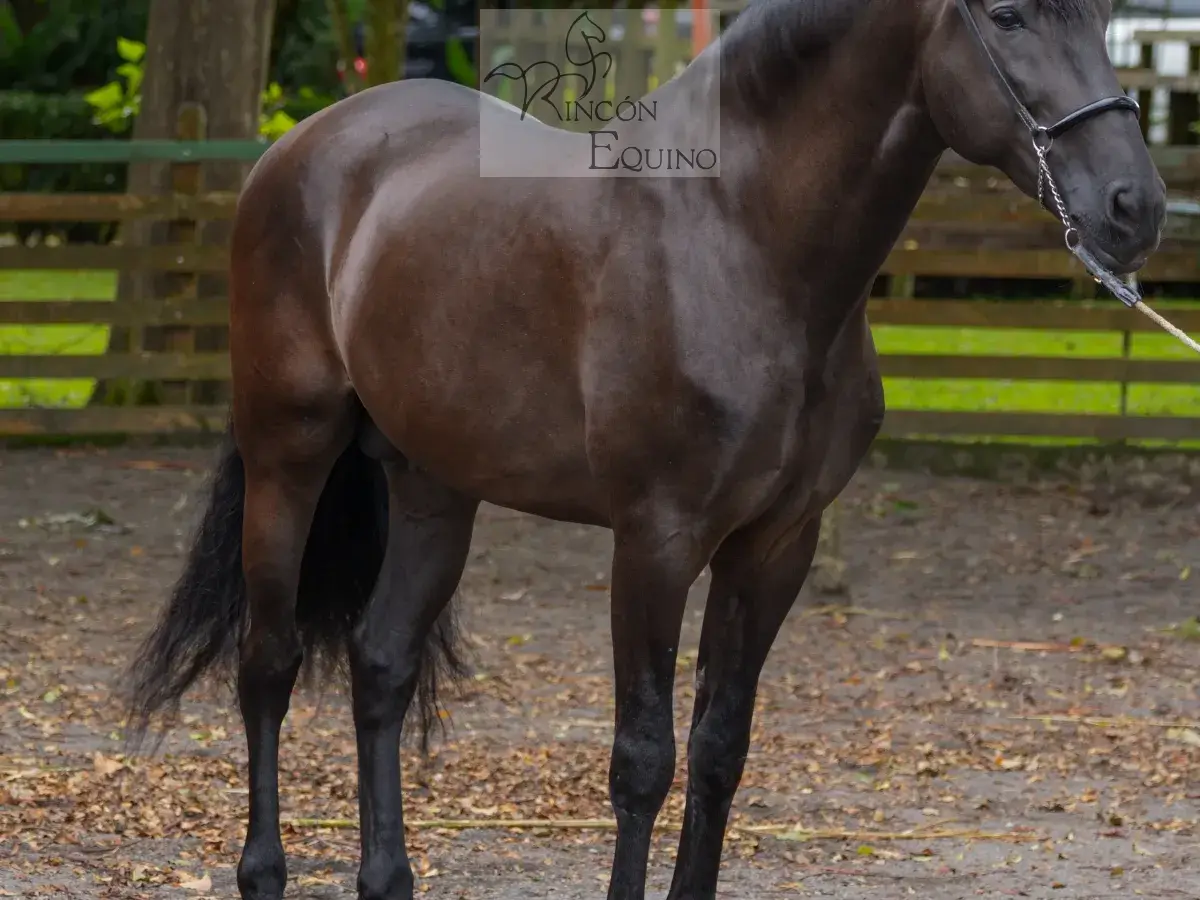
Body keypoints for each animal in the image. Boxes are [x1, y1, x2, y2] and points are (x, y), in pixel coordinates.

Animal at [125, 1, 1166, 899]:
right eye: (1007, 15)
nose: (1136, 207)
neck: (741, 242)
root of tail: (301, 145)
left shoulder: (775, 546)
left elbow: (718, 750)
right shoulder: (656, 541)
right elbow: (643, 760)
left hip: (436, 488)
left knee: (380, 665)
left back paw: (387, 879)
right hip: (288, 458)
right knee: (269, 665)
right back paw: (263, 873)